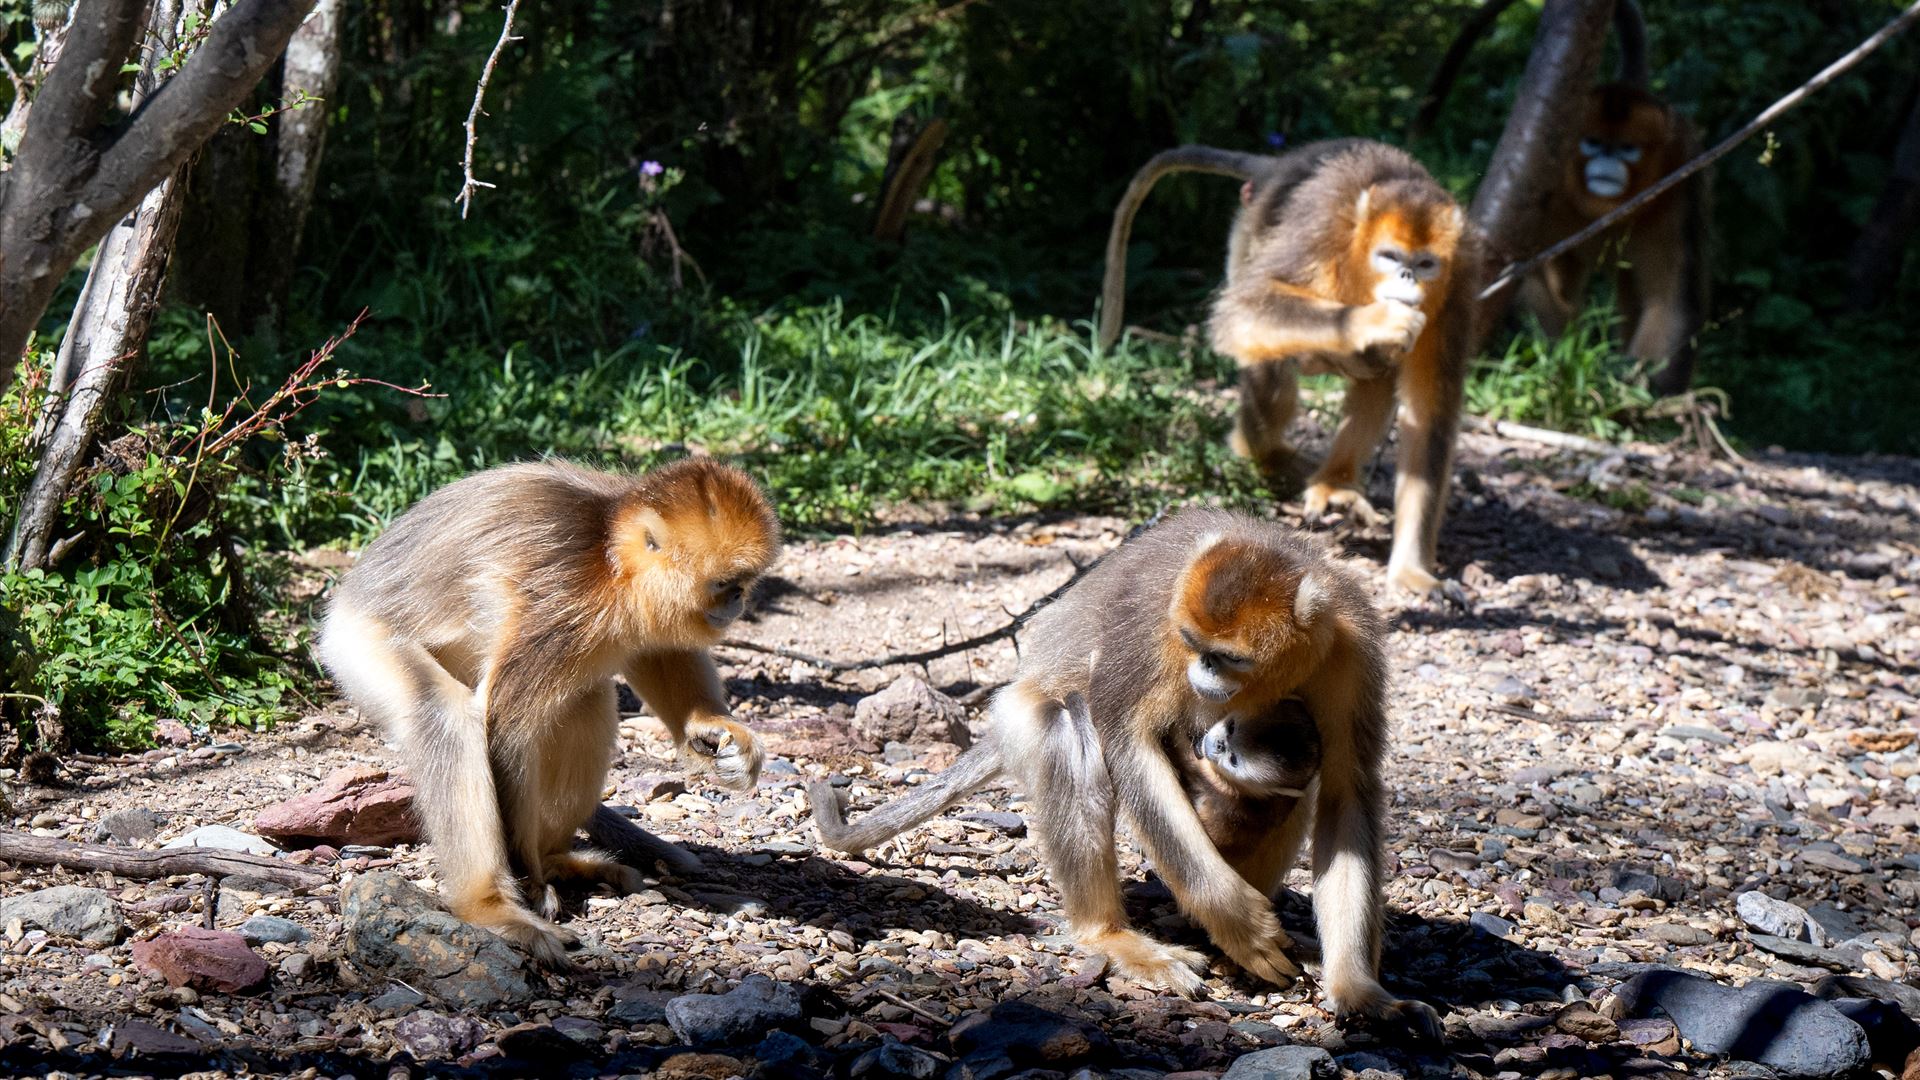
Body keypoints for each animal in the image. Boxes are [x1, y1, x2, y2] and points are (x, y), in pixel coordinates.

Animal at [316, 458, 780, 965]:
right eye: (723, 585)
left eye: (741, 583)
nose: (738, 600)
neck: (607, 559)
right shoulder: (561, 605)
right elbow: (506, 725)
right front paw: (528, 881)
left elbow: (659, 650)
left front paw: (711, 729)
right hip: (355, 642)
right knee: (445, 715)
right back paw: (491, 905)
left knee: (585, 701)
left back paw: (559, 861)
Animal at [810, 509, 1438, 1038]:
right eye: (1194, 645)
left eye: (1229, 659)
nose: (1203, 676)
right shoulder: (1154, 621)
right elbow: (1123, 738)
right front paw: (1236, 920)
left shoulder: (1349, 645)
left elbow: (1346, 793)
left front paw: (1359, 991)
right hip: (1019, 714)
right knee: (1070, 731)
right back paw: (1114, 936)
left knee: (1293, 795)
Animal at [1099, 140, 1481, 598]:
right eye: (1390, 258)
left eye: (1425, 264)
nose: (1407, 277)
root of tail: (1277, 165)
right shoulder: (1321, 227)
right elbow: (1242, 312)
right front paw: (1373, 321)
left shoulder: (1459, 282)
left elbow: (1428, 417)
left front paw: (1412, 570)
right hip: (1249, 230)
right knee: (1271, 348)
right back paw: (1267, 455)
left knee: (1379, 373)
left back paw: (1335, 481)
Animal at [1515, 81, 1709, 396]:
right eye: (1593, 143)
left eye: (1627, 149)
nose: (1606, 160)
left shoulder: (1678, 181)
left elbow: (1669, 301)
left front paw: (1646, 395)